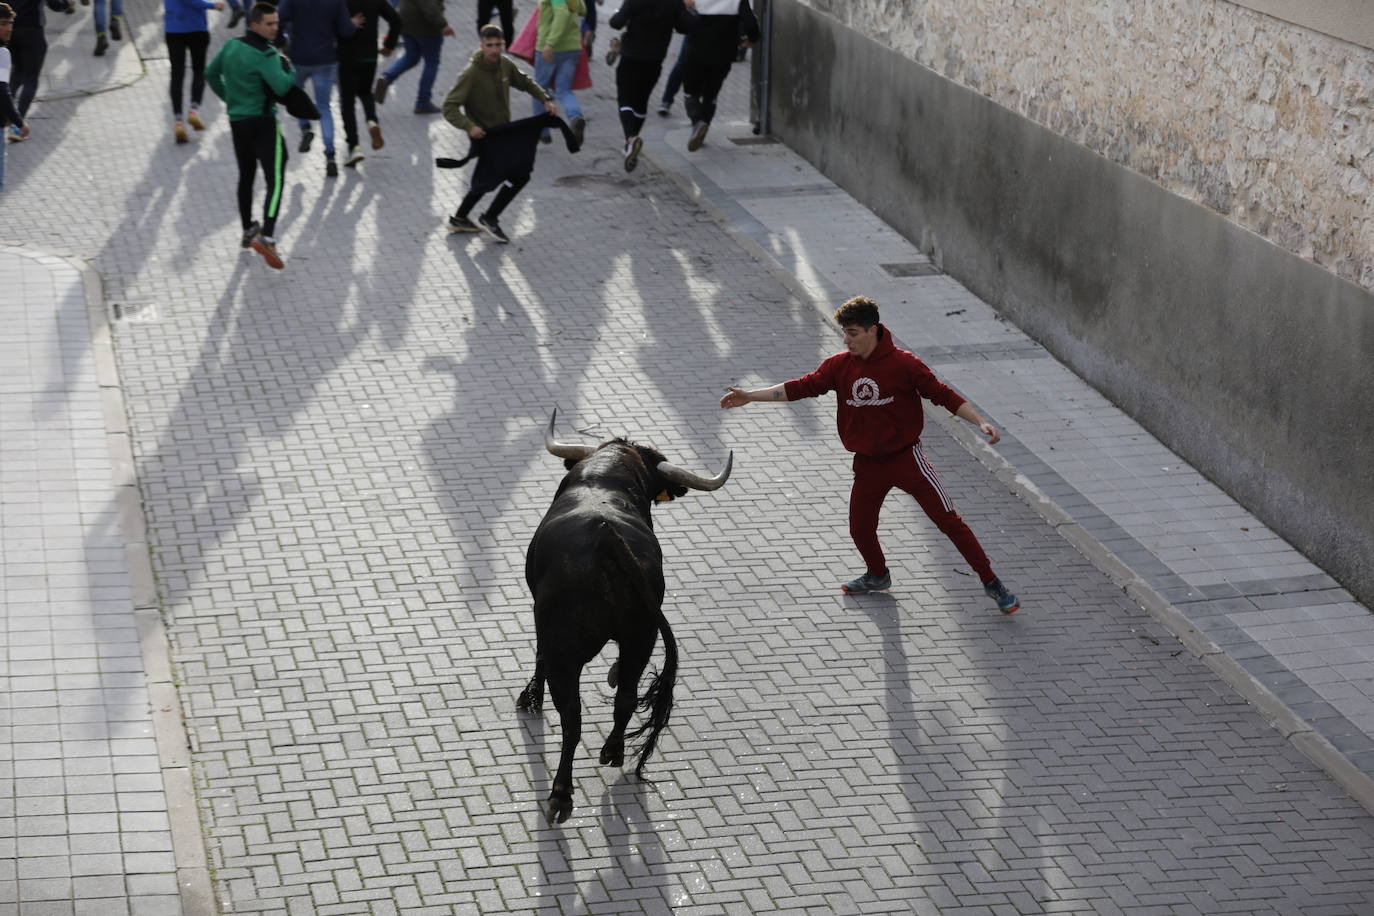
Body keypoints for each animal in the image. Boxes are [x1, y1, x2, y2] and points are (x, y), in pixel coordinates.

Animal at [516, 411, 730, 829]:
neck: (607, 476)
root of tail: (607, 539)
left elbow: (539, 658)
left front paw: (530, 697)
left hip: (568, 649)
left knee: (572, 717)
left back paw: (561, 795)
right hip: (640, 637)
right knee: (626, 696)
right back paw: (613, 750)